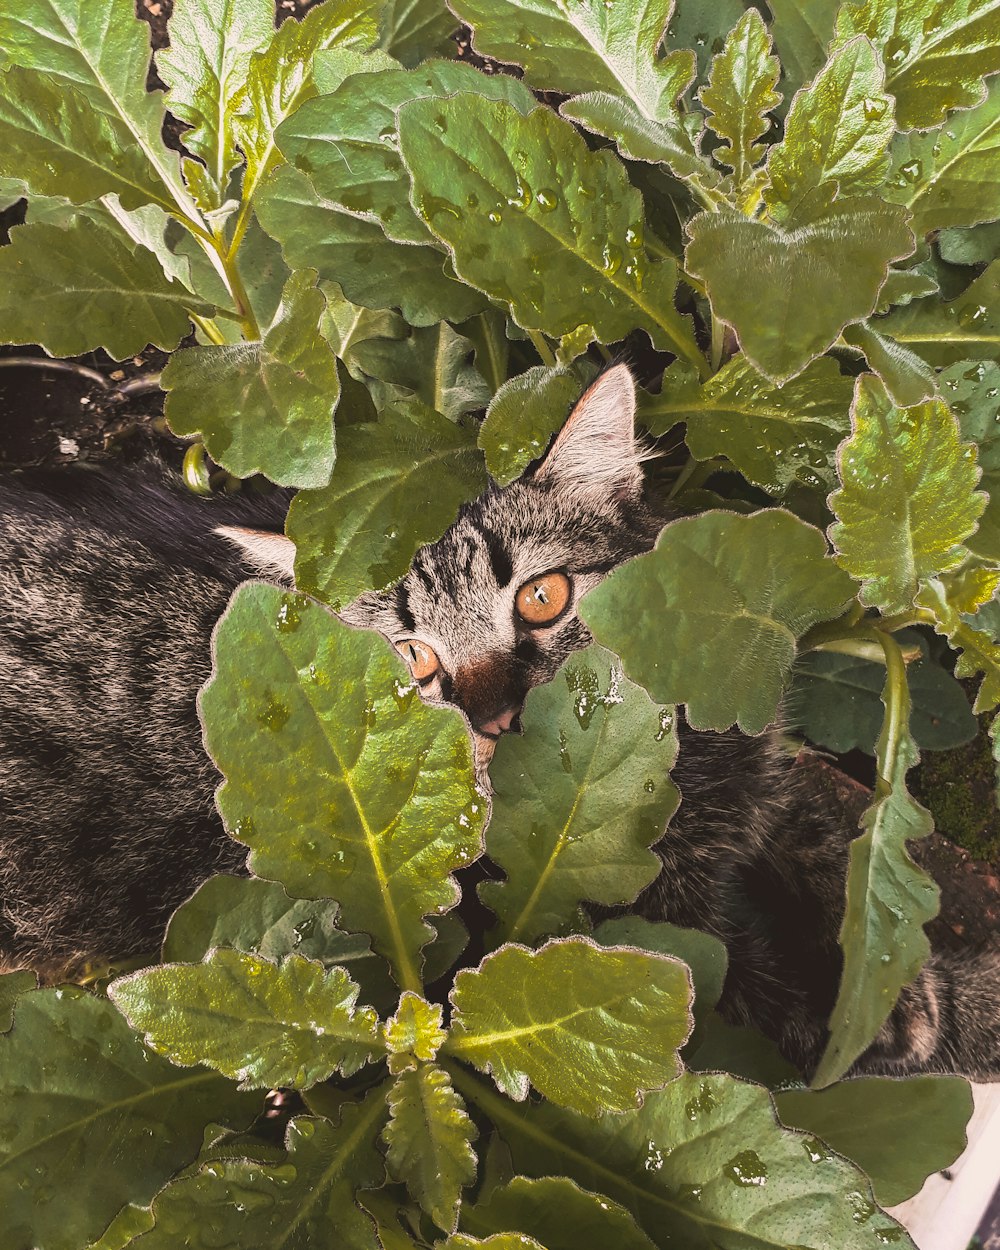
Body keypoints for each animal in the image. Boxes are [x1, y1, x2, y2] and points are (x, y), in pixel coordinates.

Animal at [0, 365, 995, 1080]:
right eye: (413, 661)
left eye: (542, 598)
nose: (492, 715)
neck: (680, 766)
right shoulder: (654, 953)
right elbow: (785, 1000)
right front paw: (940, 1013)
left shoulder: (765, 772)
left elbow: (833, 840)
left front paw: (889, 978)